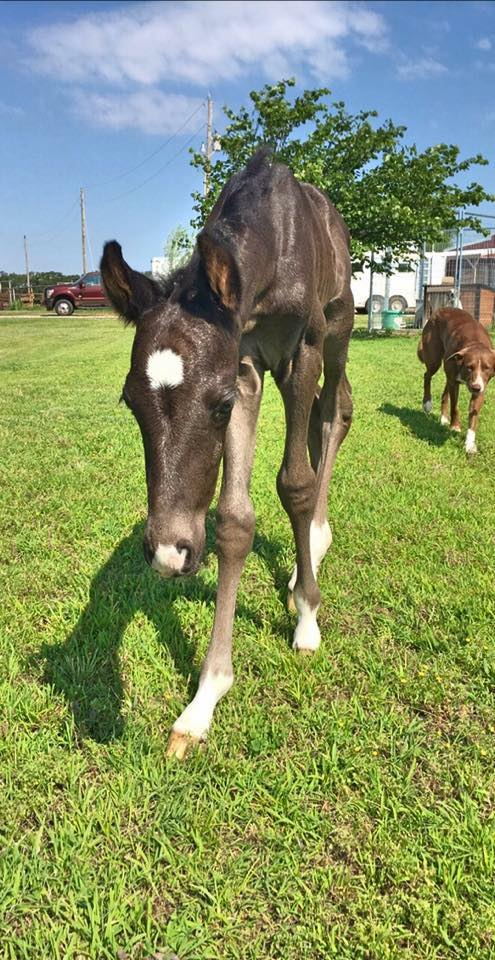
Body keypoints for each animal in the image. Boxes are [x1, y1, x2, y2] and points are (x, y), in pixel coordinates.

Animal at [100, 148, 352, 756]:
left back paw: (316, 541)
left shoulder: (299, 351)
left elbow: (294, 483)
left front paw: (307, 617)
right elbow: (235, 520)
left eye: (216, 407)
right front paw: (204, 700)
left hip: (339, 330)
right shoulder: (244, 364)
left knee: (333, 414)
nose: (170, 552)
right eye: (129, 402)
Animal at [418, 310, 495, 456]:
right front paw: (455, 426)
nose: (475, 387)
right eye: (469, 367)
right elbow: (455, 407)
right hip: (434, 359)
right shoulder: (455, 382)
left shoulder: (481, 387)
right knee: (427, 376)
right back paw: (427, 403)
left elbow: (473, 414)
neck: (475, 342)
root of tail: (438, 311)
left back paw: (443, 418)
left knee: (444, 394)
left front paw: (469, 444)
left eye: (486, 368)